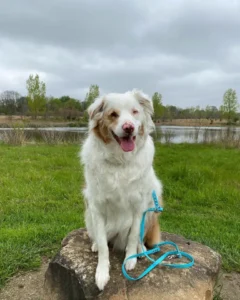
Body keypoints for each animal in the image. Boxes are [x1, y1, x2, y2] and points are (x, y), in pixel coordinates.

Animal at [80, 89, 163, 290]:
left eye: (134, 112)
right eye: (113, 114)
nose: (128, 127)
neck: (120, 161)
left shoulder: (139, 206)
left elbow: (133, 236)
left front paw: (130, 259)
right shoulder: (97, 207)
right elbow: (103, 245)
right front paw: (102, 272)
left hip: (152, 206)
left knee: (140, 237)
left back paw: (141, 250)